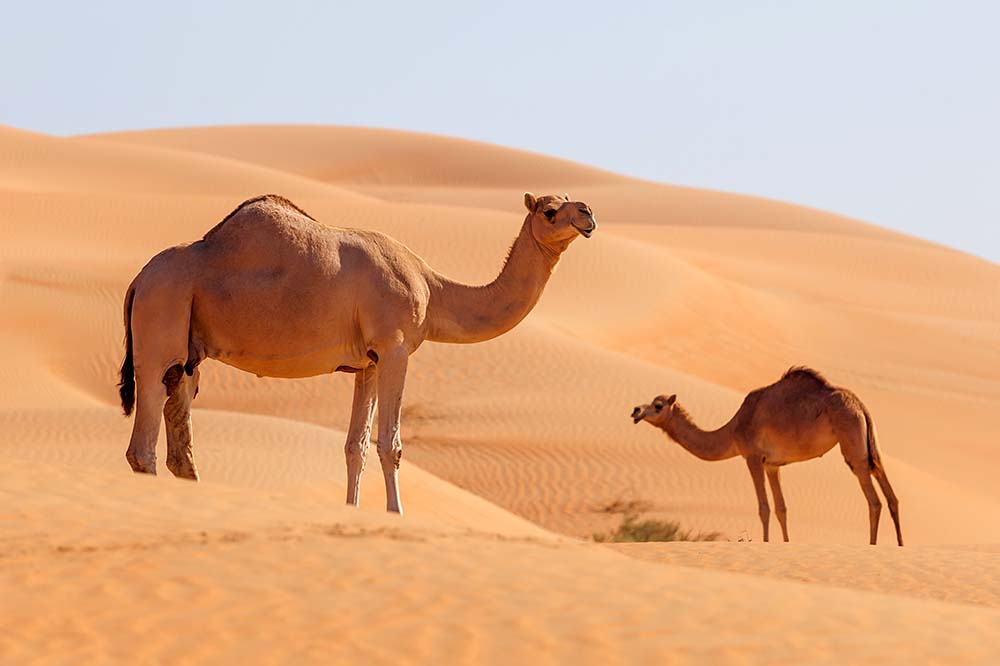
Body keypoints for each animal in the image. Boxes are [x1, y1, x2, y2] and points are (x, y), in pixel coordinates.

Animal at [121, 189, 596, 510]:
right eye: (551, 210)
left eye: (569, 200)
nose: (588, 213)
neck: (433, 289)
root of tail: (138, 279)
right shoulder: (396, 347)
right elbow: (391, 444)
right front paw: (397, 515)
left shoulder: (367, 362)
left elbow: (356, 447)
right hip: (162, 316)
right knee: (142, 442)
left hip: (189, 355)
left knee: (180, 439)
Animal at [632, 368, 908, 544]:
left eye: (658, 405)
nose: (635, 411)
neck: (732, 430)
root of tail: (860, 404)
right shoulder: (773, 465)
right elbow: (781, 508)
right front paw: (785, 544)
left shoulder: (752, 457)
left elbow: (764, 508)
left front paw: (765, 543)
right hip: (870, 445)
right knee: (890, 494)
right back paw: (900, 544)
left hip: (851, 442)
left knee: (874, 500)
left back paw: (872, 545)